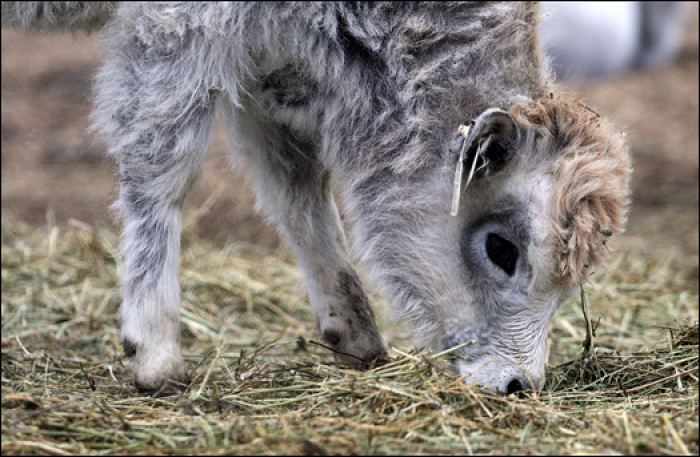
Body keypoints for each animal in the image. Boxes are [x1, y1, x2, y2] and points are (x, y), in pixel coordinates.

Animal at [1, 2, 636, 396]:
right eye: (502, 248)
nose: (518, 385)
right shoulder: (178, 32)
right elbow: (163, 167)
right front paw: (157, 358)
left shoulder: (265, 58)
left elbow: (297, 188)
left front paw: (356, 336)